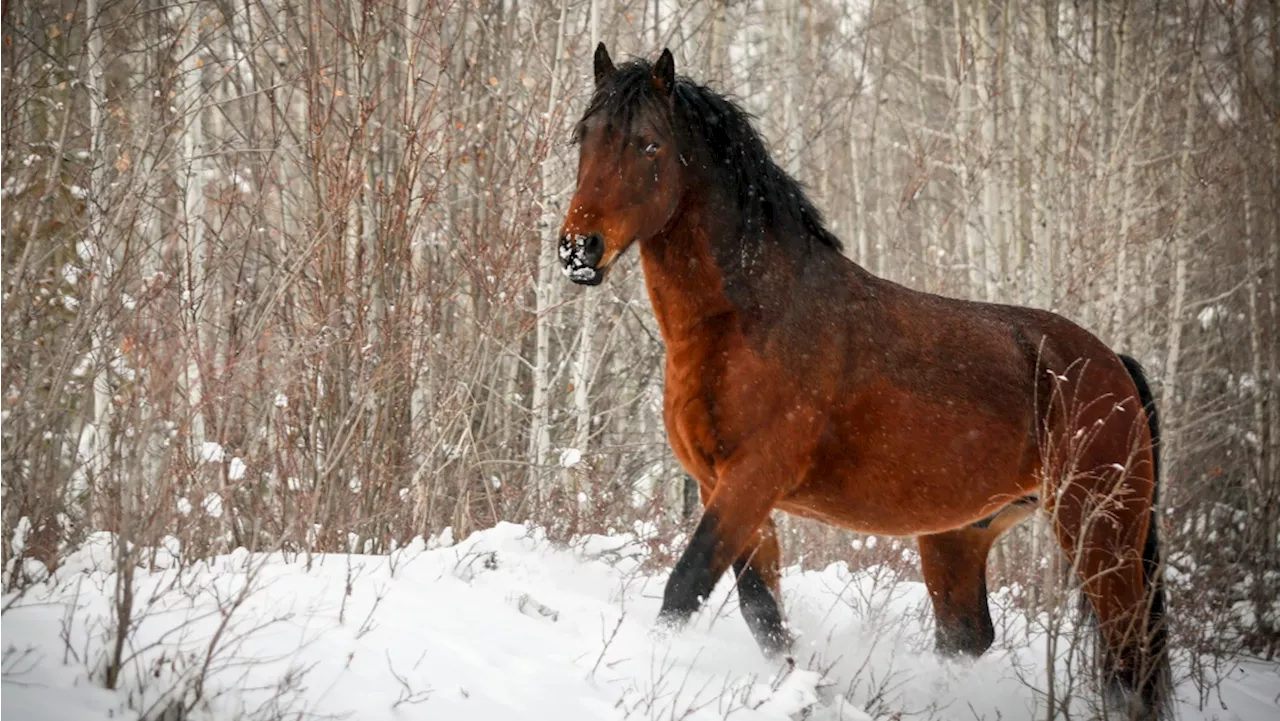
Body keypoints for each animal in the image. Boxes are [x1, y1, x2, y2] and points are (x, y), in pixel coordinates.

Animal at [558, 43, 1172, 717]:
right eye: (583, 136)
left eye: (649, 145)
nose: (579, 250)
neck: (752, 316)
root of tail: (1113, 365)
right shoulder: (728, 488)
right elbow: (763, 614)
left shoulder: (751, 480)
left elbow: (686, 586)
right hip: (960, 537)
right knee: (968, 637)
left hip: (1101, 536)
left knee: (1129, 658)